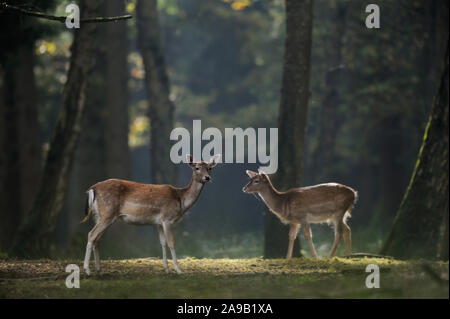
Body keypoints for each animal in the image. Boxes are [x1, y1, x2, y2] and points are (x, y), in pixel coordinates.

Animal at [82, 155, 221, 276]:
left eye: (210, 168)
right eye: (196, 167)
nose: (207, 177)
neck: (181, 200)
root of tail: (92, 188)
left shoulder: (159, 222)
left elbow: (162, 242)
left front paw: (166, 269)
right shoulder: (167, 218)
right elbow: (171, 242)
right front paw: (178, 270)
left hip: (100, 215)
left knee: (97, 239)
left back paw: (99, 270)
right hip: (107, 213)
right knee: (91, 234)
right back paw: (87, 270)